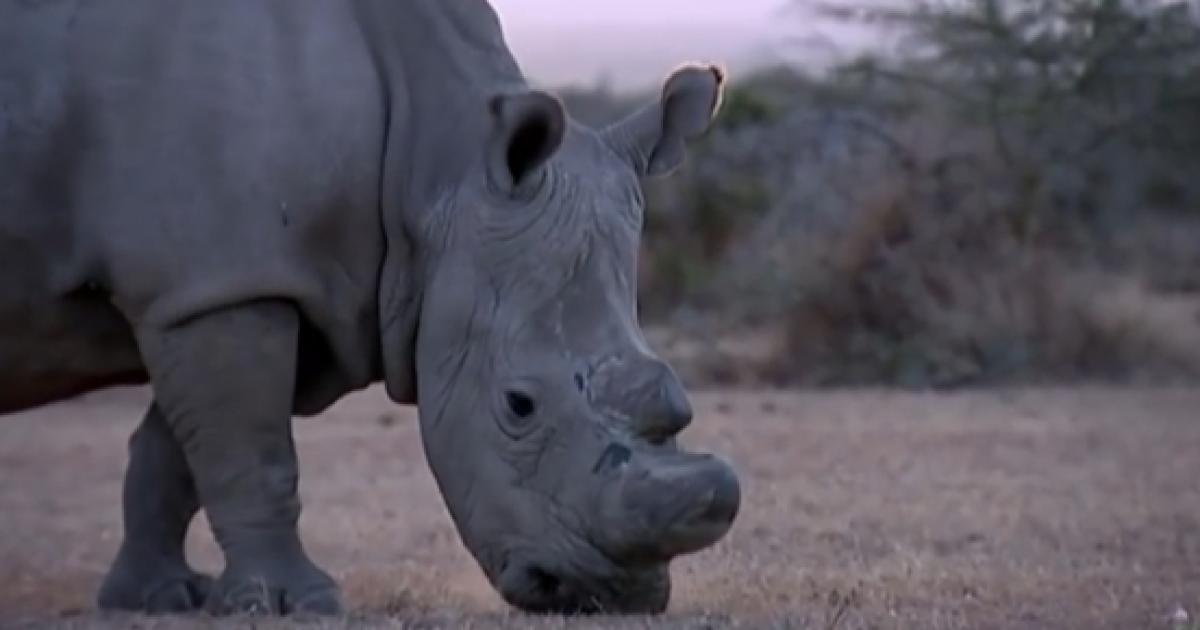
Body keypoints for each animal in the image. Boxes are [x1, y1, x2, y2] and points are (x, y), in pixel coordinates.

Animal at [0, 0, 734, 614]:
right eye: (518, 405)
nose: (608, 596)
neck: (436, 167)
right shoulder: (216, 284)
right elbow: (253, 454)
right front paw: (294, 604)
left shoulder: (246, 281)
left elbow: (181, 451)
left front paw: (159, 598)